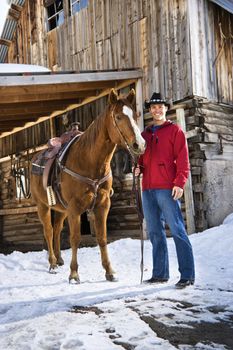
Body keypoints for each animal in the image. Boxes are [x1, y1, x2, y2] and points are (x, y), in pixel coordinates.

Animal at [30, 89, 145, 284]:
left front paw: (109, 271)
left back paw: (59, 259)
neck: (89, 160)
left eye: (135, 115)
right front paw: (74, 274)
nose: (139, 144)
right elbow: (75, 238)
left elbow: (102, 237)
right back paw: (52, 264)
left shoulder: (103, 205)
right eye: (118, 116)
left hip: (61, 209)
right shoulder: (75, 208)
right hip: (43, 206)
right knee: (48, 231)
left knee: (57, 229)